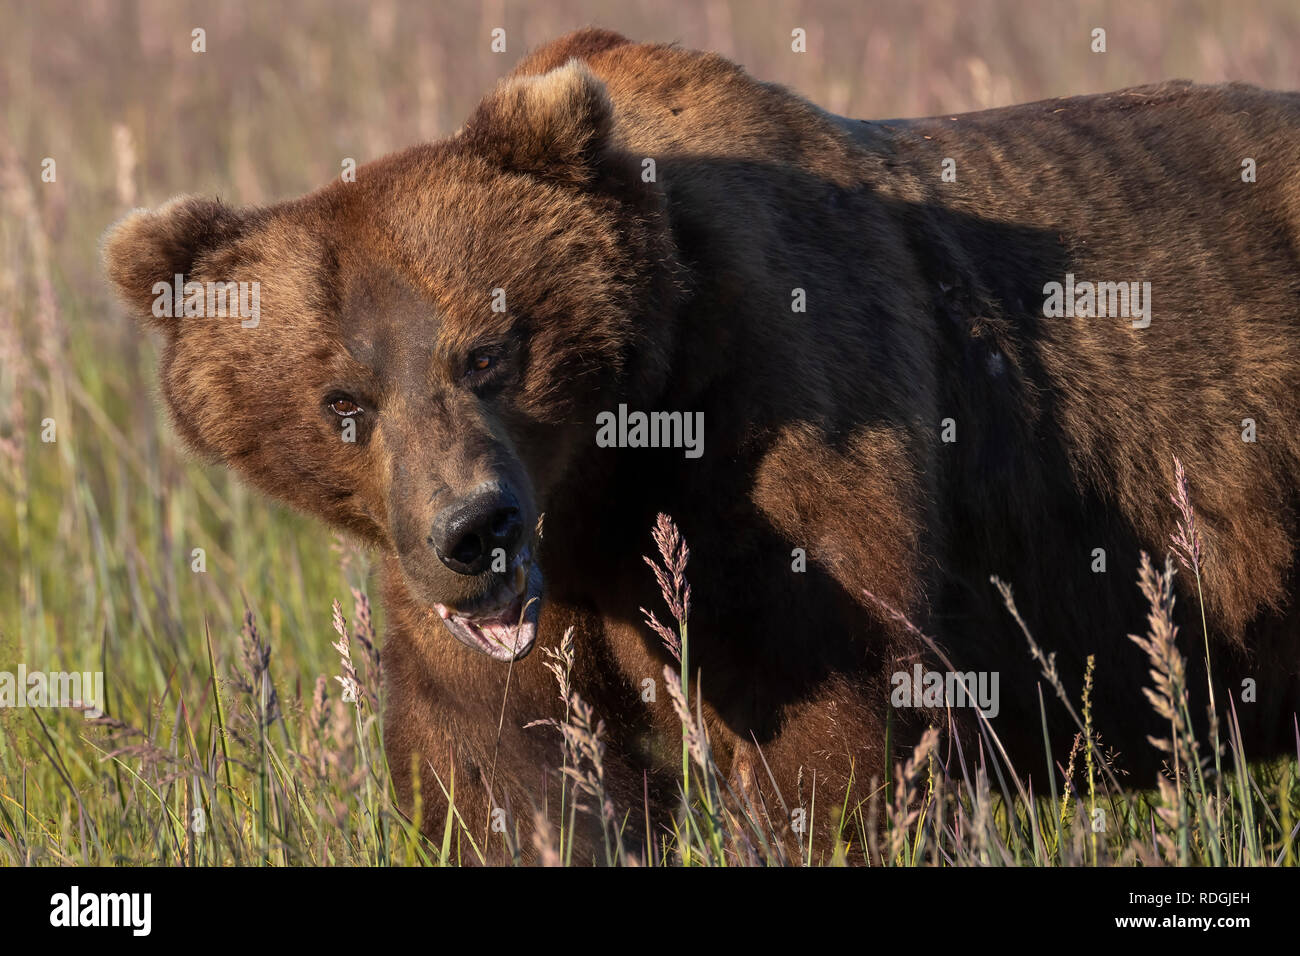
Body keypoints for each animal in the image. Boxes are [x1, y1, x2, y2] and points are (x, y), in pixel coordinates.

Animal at [104, 27, 1300, 858]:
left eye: (489, 352)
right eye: (344, 401)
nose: (474, 530)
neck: (602, 474)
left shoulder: (789, 435)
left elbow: (832, 735)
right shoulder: (484, 601)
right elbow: (509, 771)